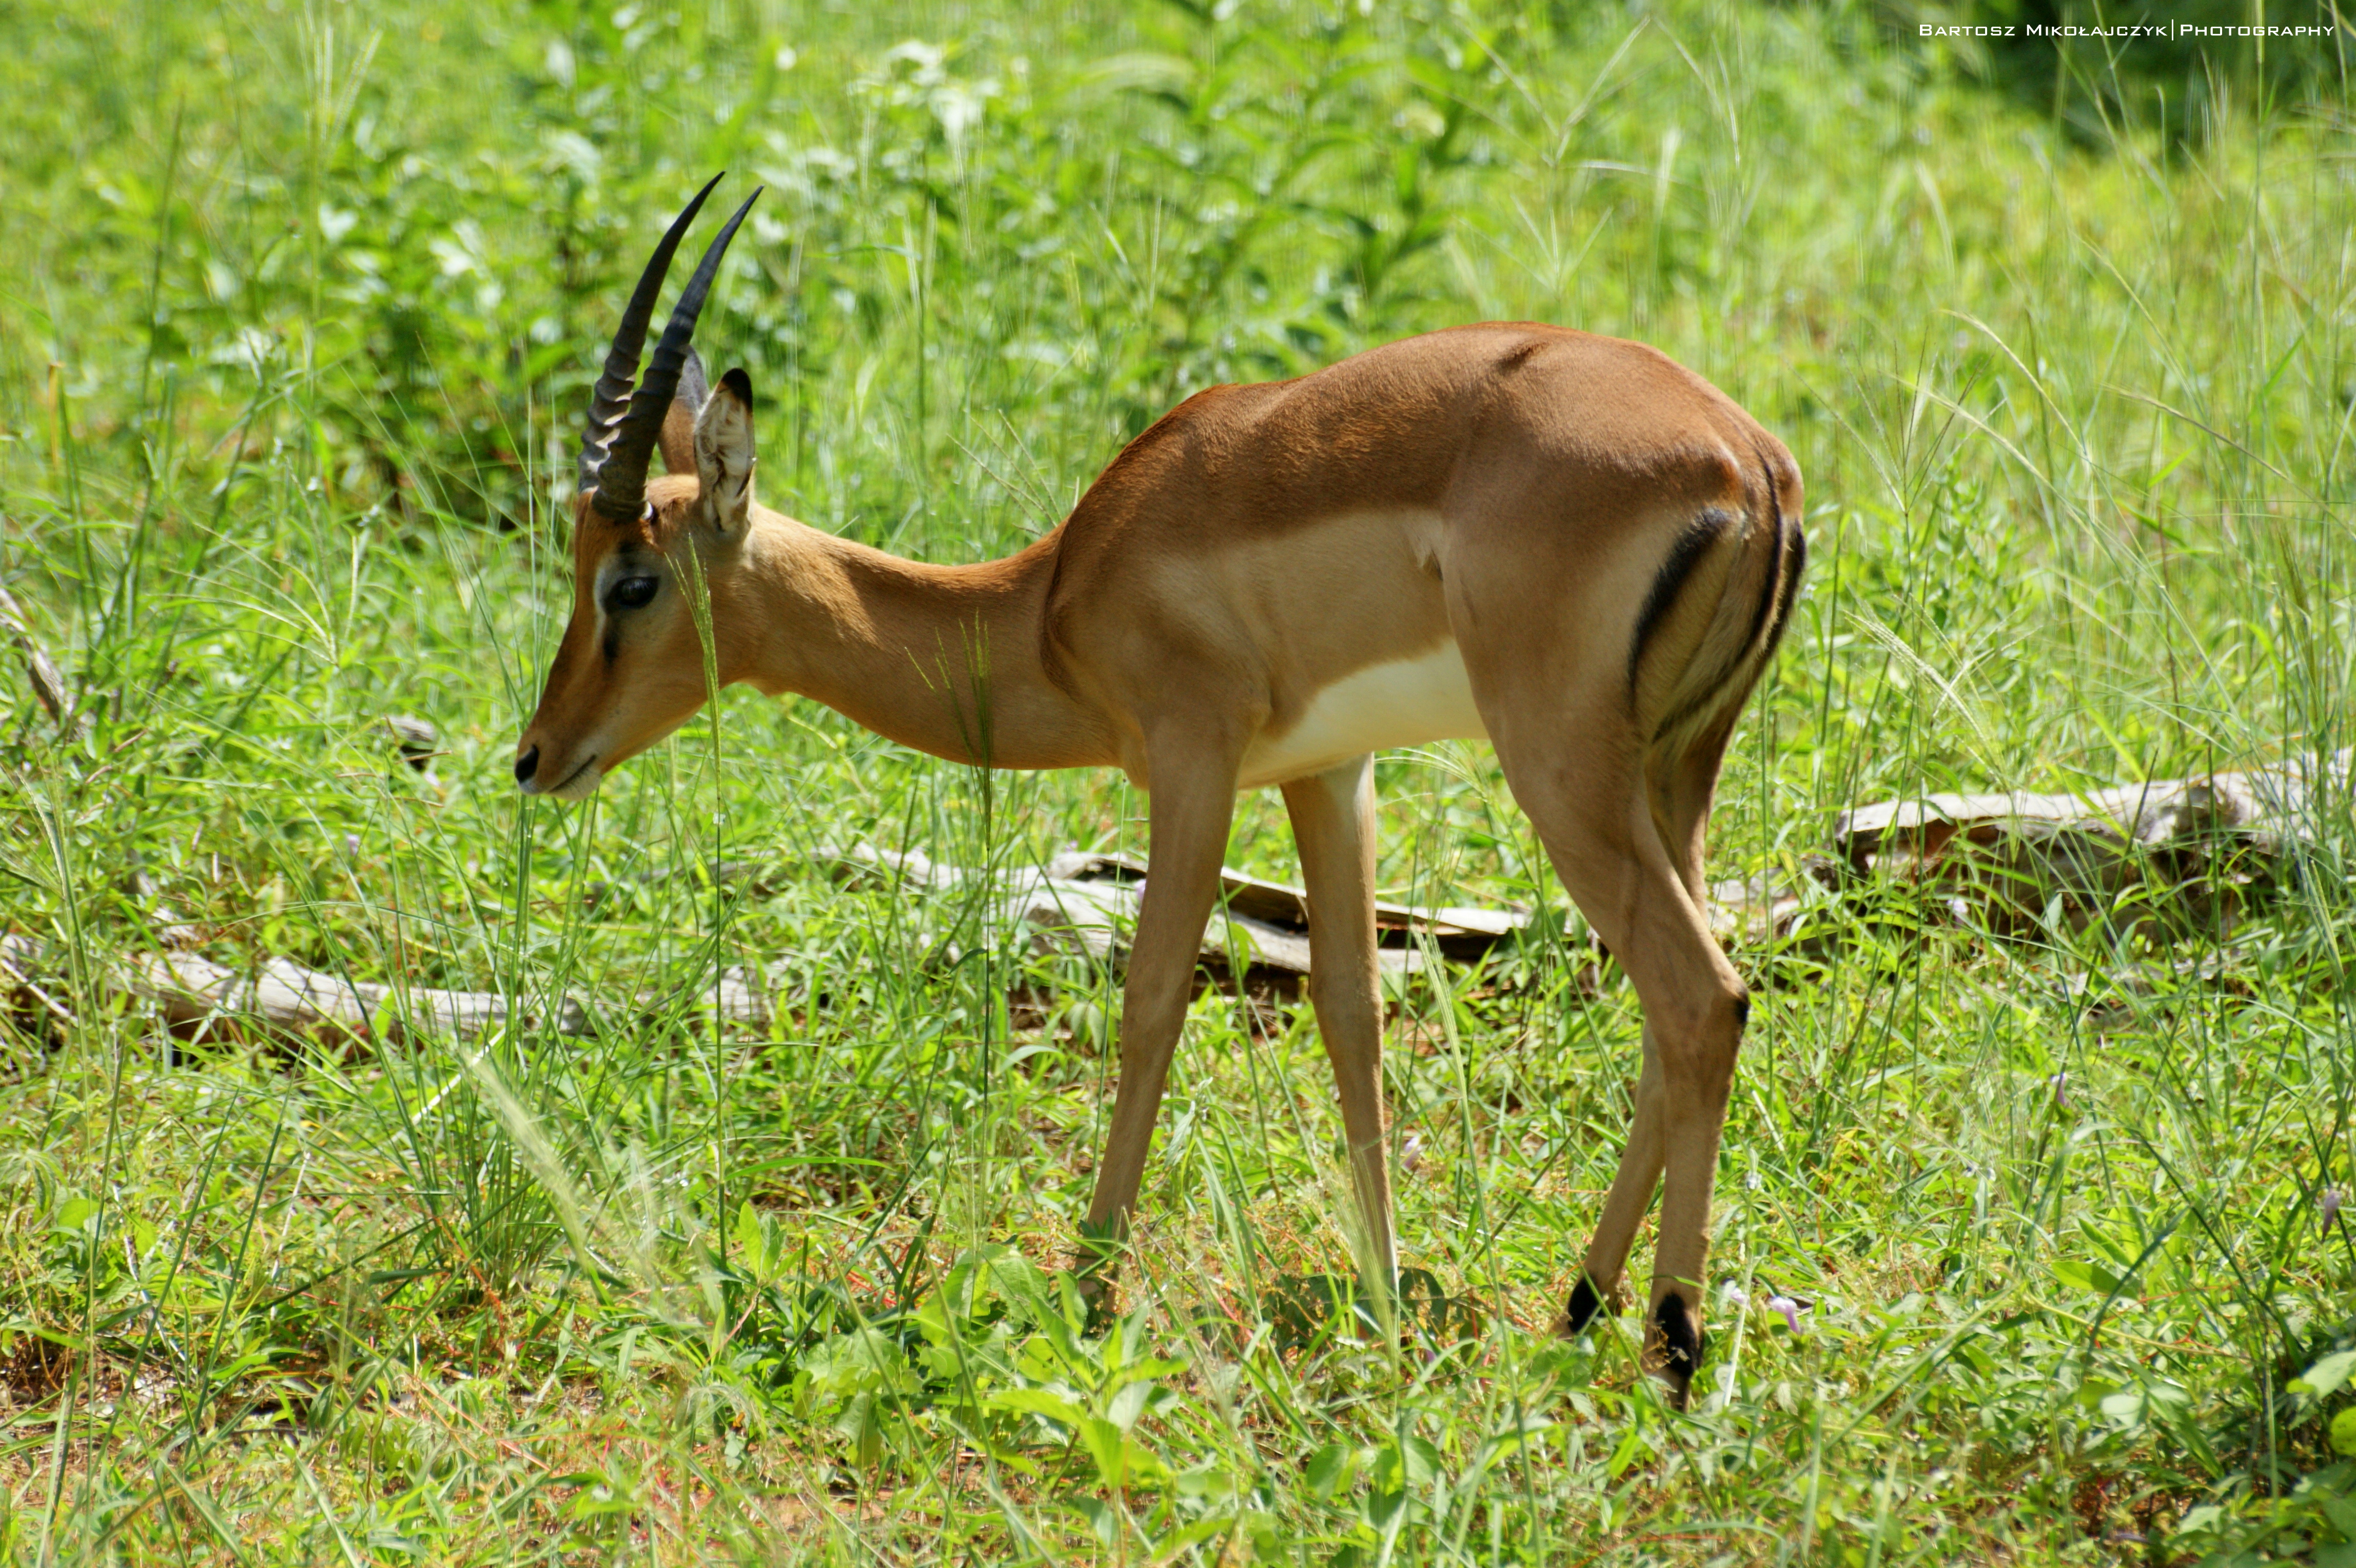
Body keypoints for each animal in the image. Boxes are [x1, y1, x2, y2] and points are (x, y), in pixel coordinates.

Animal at [514, 175, 1803, 1404]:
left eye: (631, 580)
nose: (535, 754)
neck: (1047, 605)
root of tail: (1748, 460)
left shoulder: (1192, 757)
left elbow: (1151, 999)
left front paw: (1088, 1286)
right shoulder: (1328, 771)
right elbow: (1351, 1009)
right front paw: (1384, 1301)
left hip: (1561, 771)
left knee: (1702, 997)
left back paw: (1671, 1348)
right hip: (1671, 772)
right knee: (1676, 1010)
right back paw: (1578, 1310)